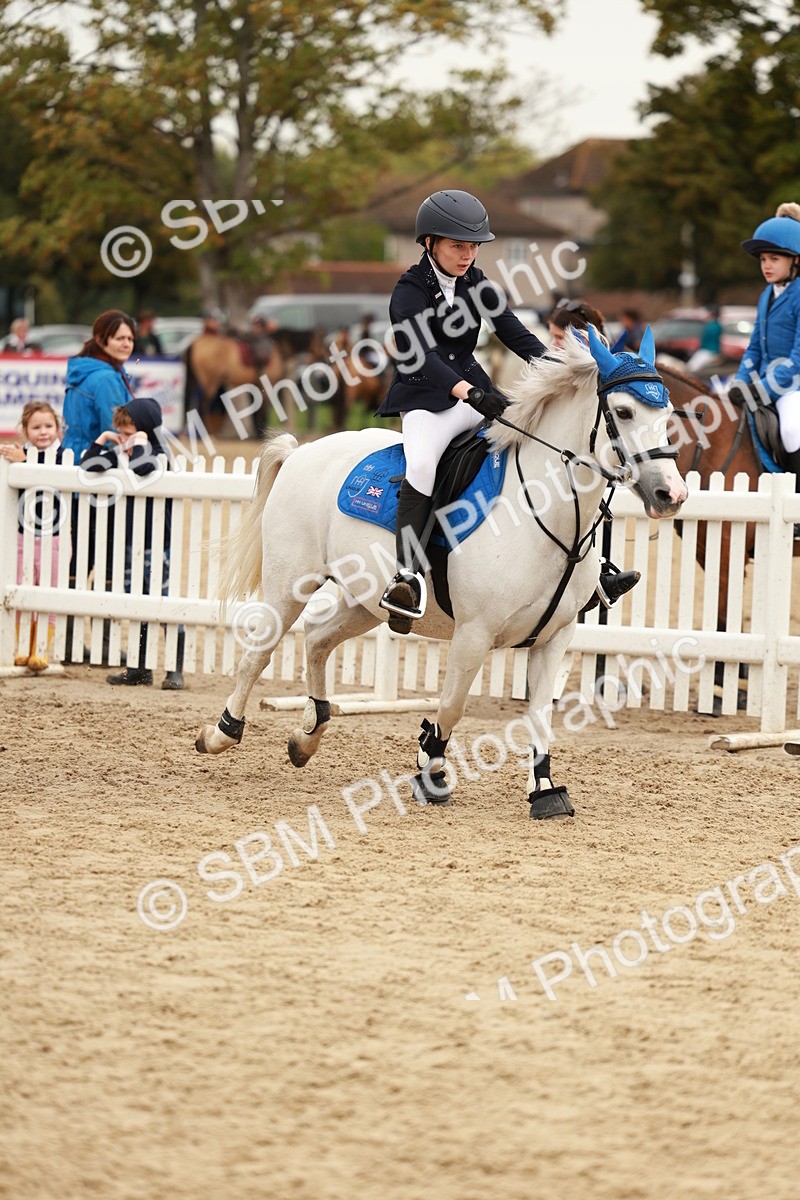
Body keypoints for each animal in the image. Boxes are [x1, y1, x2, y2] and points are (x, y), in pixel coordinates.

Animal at [196, 327, 687, 820]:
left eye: (666, 413)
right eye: (623, 412)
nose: (672, 494)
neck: (544, 514)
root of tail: (303, 451)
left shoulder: (554, 638)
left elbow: (540, 716)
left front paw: (545, 789)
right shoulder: (473, 634)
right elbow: (452, 707)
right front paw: (429, 767)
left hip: (367, 602)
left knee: (317, 638)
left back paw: (307, 735)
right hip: (290, 586)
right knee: (258, 652)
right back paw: (222, 732)